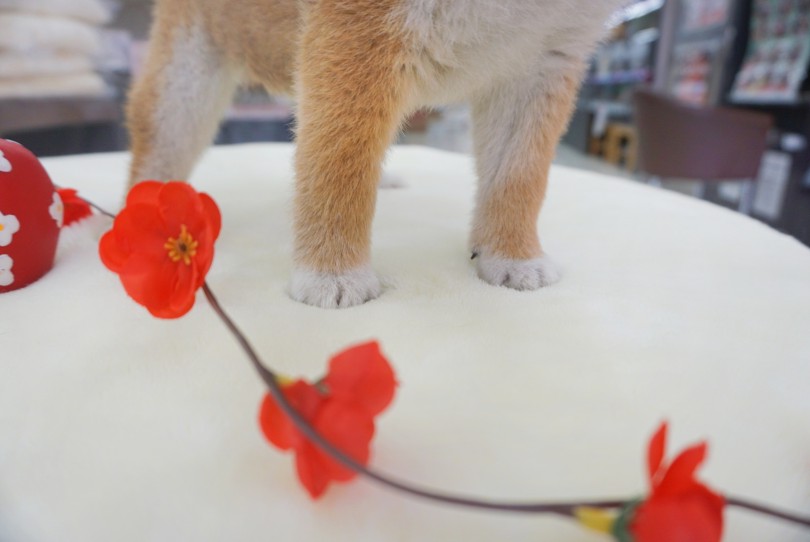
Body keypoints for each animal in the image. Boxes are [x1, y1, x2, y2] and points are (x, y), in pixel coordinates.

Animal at [126, 1, 620, 310]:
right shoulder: (359, 35)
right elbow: (337, 163)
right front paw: (332, 274)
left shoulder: (542, 62)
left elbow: (519, 178)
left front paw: (513, 255)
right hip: (187, 75)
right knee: (159, 145)